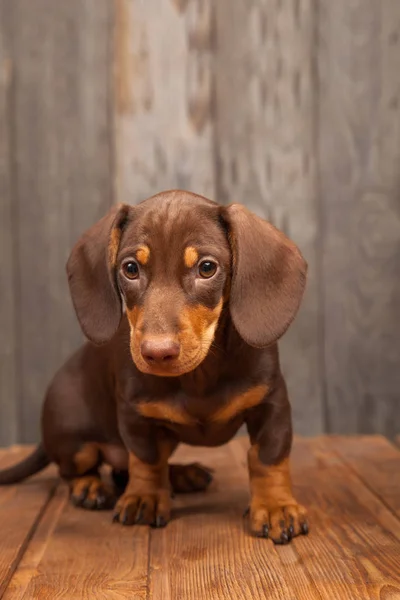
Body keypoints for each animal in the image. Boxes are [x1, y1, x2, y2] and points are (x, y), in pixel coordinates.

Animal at [0, 191, 310, 544]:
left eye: (207, 267)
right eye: (130, 268)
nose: (156, 352)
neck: (200, 375)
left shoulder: (272, 404)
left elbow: (268, 458)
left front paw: (275, 506)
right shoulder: (136, 415)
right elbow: (147, 460)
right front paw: (145, 497)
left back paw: (182, 475)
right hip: (74, 439)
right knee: (79, 469)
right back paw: (90, 486)